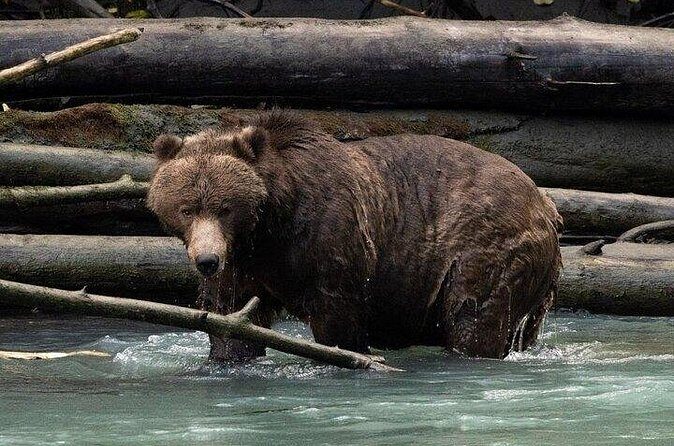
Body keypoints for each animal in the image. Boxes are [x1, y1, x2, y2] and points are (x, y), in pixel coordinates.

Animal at [147, 111, 562, 361]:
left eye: (224, 207)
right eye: (187, 208)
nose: (206, 260)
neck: (271, 224)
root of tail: (545, 203)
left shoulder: (328, 236)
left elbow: (337, 314)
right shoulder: (244, 260)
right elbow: (230, 314)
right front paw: (229, 354)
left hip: (483, 245)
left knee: (473, 314)